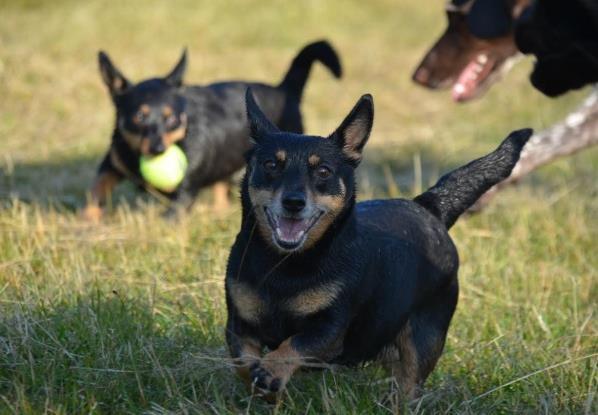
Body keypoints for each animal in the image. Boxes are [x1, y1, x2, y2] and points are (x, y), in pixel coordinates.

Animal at [83, 39, 342, 221]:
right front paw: (87, 221)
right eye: (139, 117)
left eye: (172, 119)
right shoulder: (113, 161)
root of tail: (284, 89)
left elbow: (170, 216)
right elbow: (96, 188)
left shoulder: (185, 193)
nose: (158, 149)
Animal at [226, 88, 536, 404]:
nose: (293, 202)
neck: (286, 264)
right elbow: (244, 363)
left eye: (324, 171)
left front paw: (271, 370)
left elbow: (293, 345)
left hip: (424, 340)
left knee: (409, 385)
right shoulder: (238, 327)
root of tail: (429, 207)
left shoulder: (328, 331)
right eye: (270, 165)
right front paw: (263, 386)